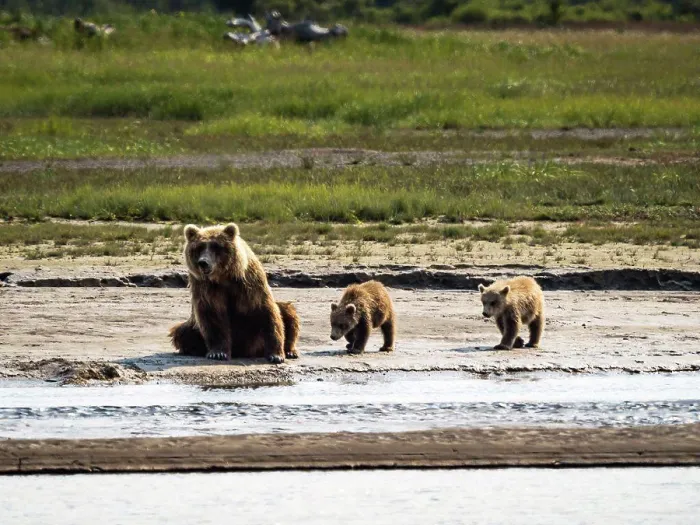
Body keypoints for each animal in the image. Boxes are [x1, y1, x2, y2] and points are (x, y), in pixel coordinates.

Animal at [169, 222, 300, 364]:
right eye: (199, 247)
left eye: (216, 246)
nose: (203, 263)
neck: (223, 277)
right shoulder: (206, 287)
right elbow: (212, 315)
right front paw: (218, 353)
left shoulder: (249, 284)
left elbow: (267, 312)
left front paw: (276, 355)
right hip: (193, 326)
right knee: (182, 332)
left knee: (288, 312)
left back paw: (290, 351)